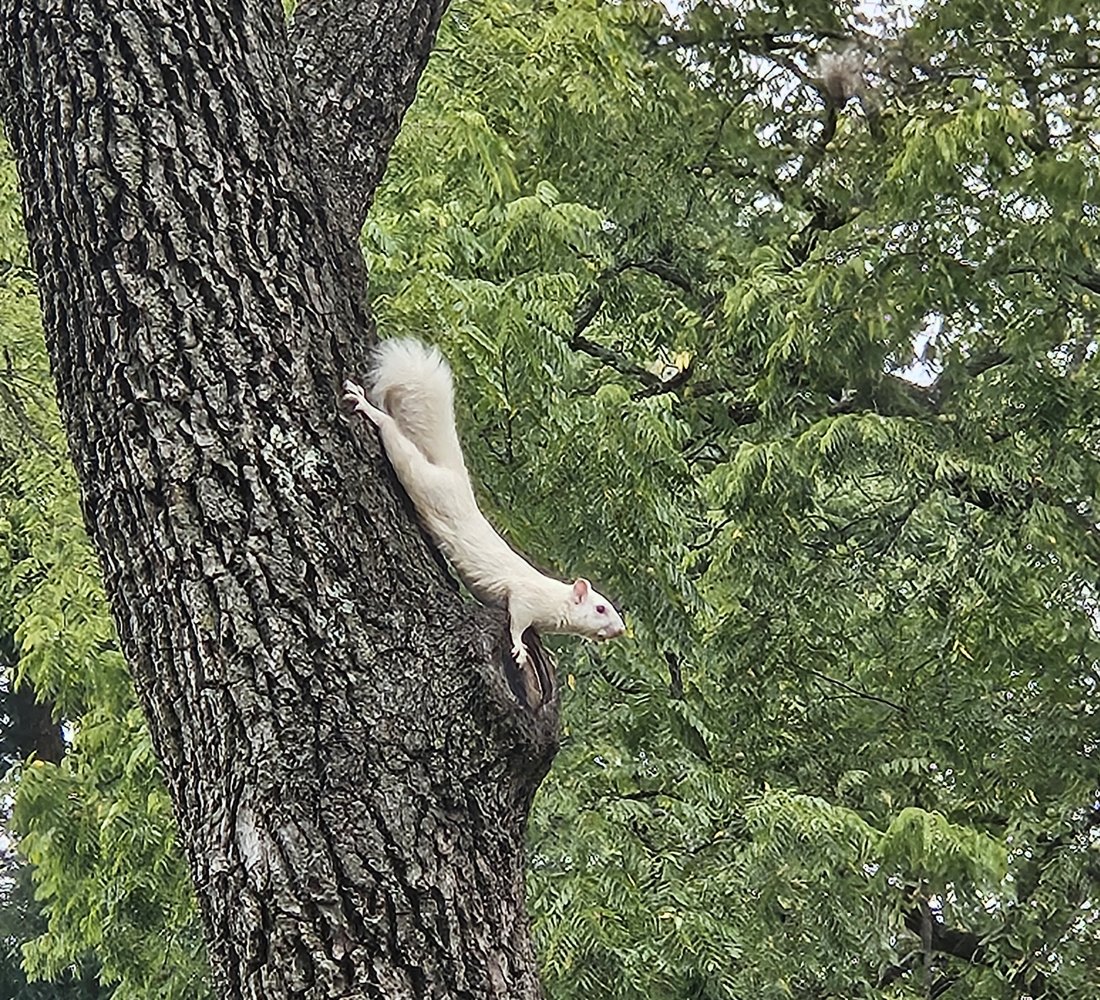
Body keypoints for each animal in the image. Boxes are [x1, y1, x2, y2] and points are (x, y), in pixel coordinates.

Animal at [342, 338, 626, 666]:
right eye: (600, 608)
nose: (621, 629)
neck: (555, 598)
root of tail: (456, 475)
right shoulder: (526, 598)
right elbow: (516, 621)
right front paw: (519, 648)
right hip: (423, 479)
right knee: (392, 434)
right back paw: (365, 405)